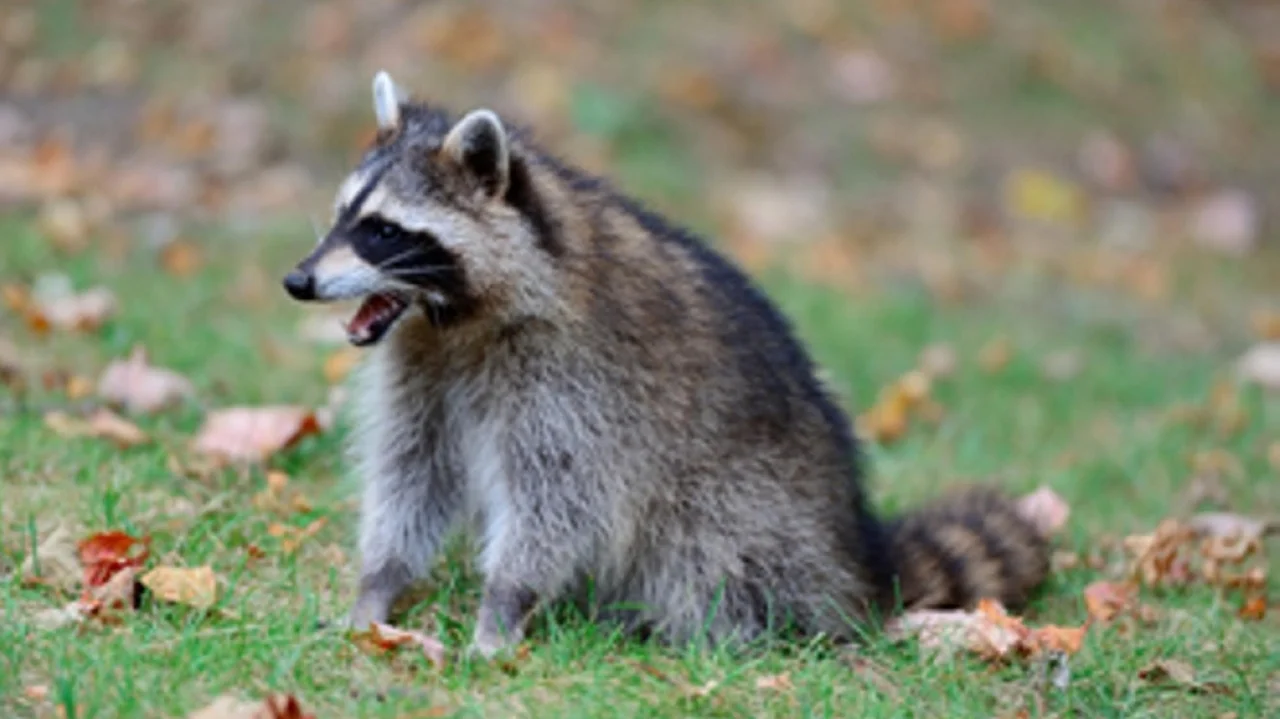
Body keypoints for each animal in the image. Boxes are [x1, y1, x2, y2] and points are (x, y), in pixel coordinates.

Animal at [282, 71, 1051, 657]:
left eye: (383, 231)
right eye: (342, 215)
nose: (297, 280)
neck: (455, 320)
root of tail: (855, 561)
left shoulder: (572, 380)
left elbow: (558, 500)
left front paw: (503, 606)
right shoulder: (425, 366)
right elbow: (415, 470)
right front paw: (377, 585)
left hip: (755, 502)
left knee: (710, 548)